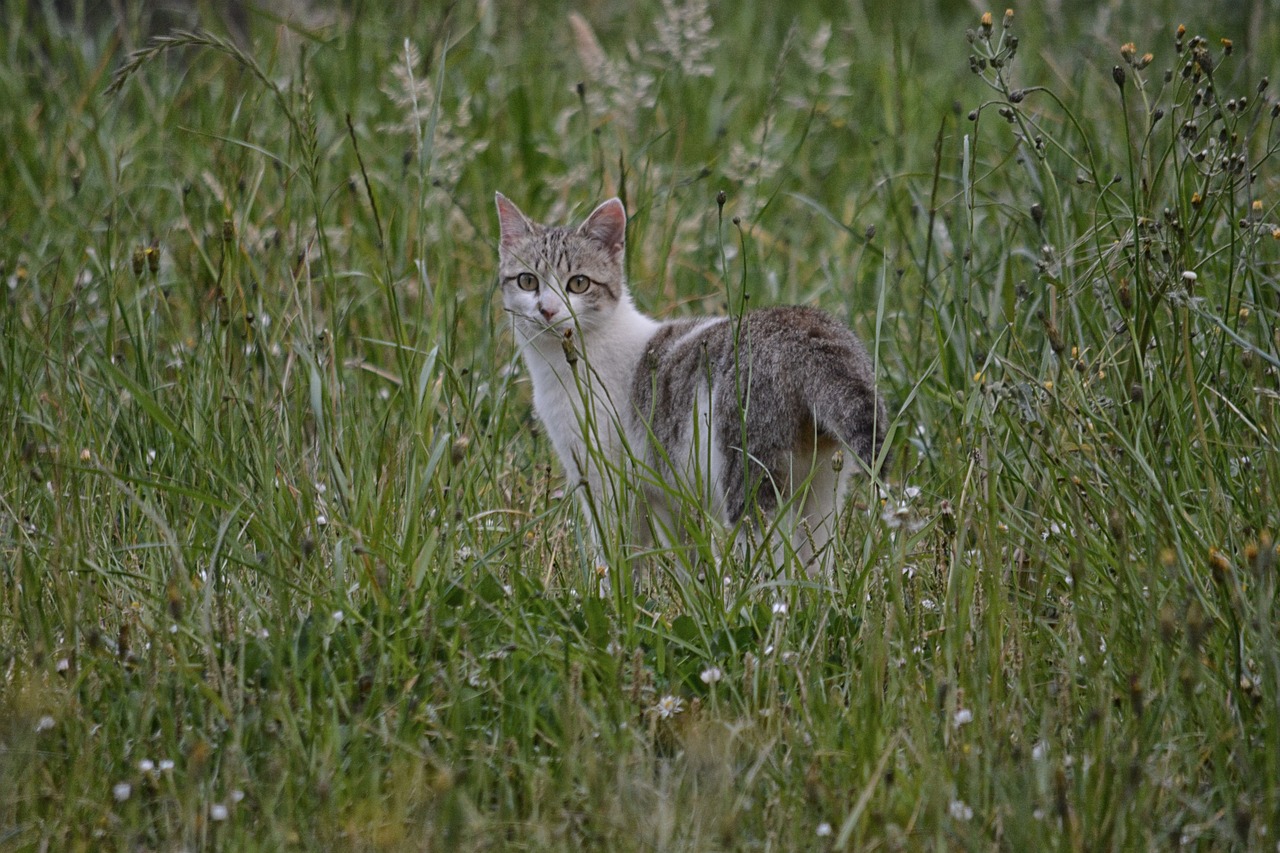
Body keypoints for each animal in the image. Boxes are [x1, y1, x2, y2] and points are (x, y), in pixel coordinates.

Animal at [494, 190, 885, 578]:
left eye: (578, 283)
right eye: (527, 281)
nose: (547, 310)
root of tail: (805, 327)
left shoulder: (608, 484)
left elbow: (616, 557)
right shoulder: (669, 500)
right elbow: (685, 555)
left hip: (748, 476)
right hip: (821, 486)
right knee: (815, 560)